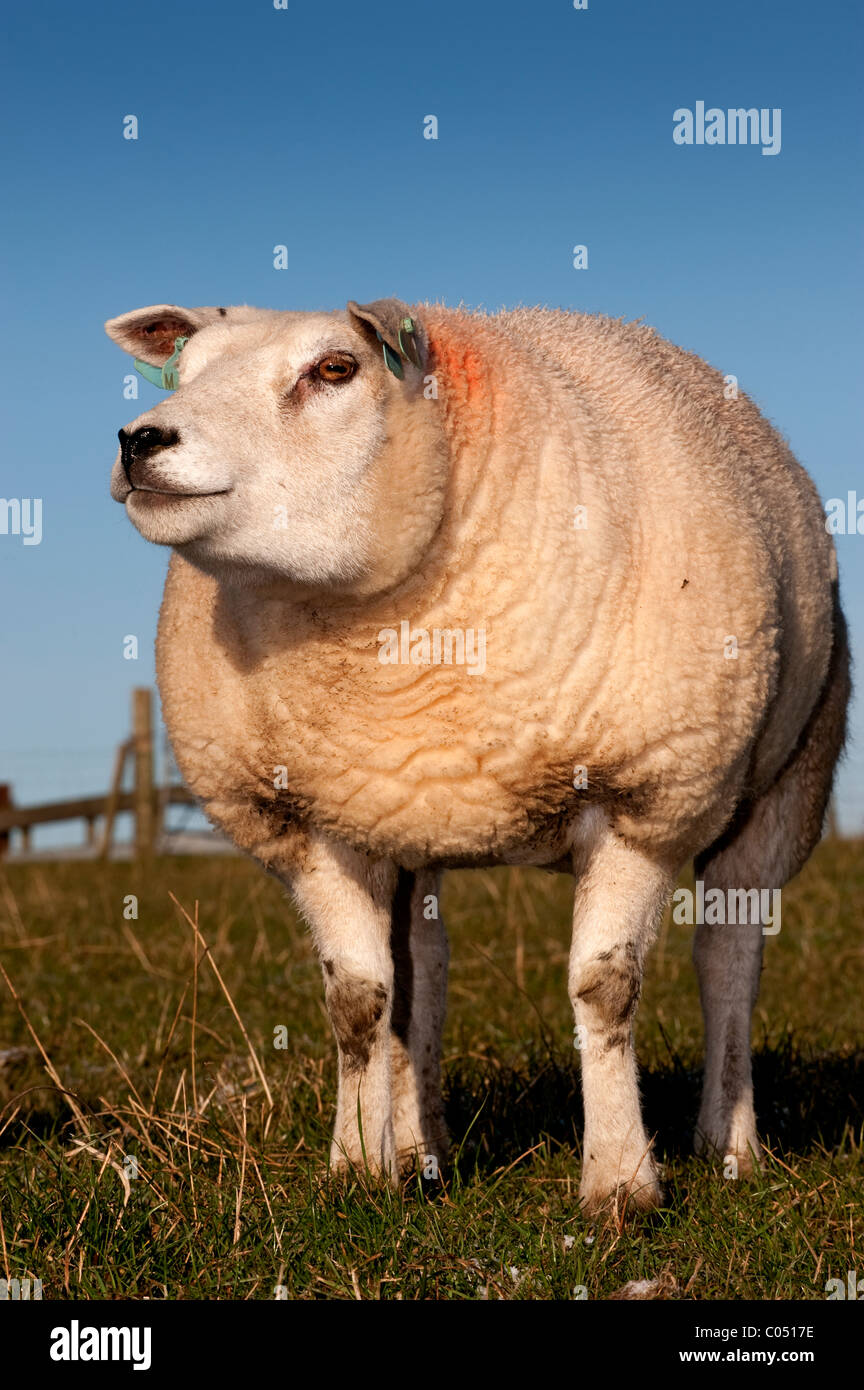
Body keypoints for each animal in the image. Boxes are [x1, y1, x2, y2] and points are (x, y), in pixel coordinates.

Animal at [104, 298, 850, 1212]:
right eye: (183, 370)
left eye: (334, 369)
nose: (140, 441)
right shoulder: (309, 819)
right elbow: (359, 999)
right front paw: (357, 1168)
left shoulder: (644, 796)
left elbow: (605, 988)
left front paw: (619, 1185)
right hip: (406, 816)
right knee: (421, 967)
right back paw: (419, 1146)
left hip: (786, 779)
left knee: (730, 957)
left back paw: (730, 1145)